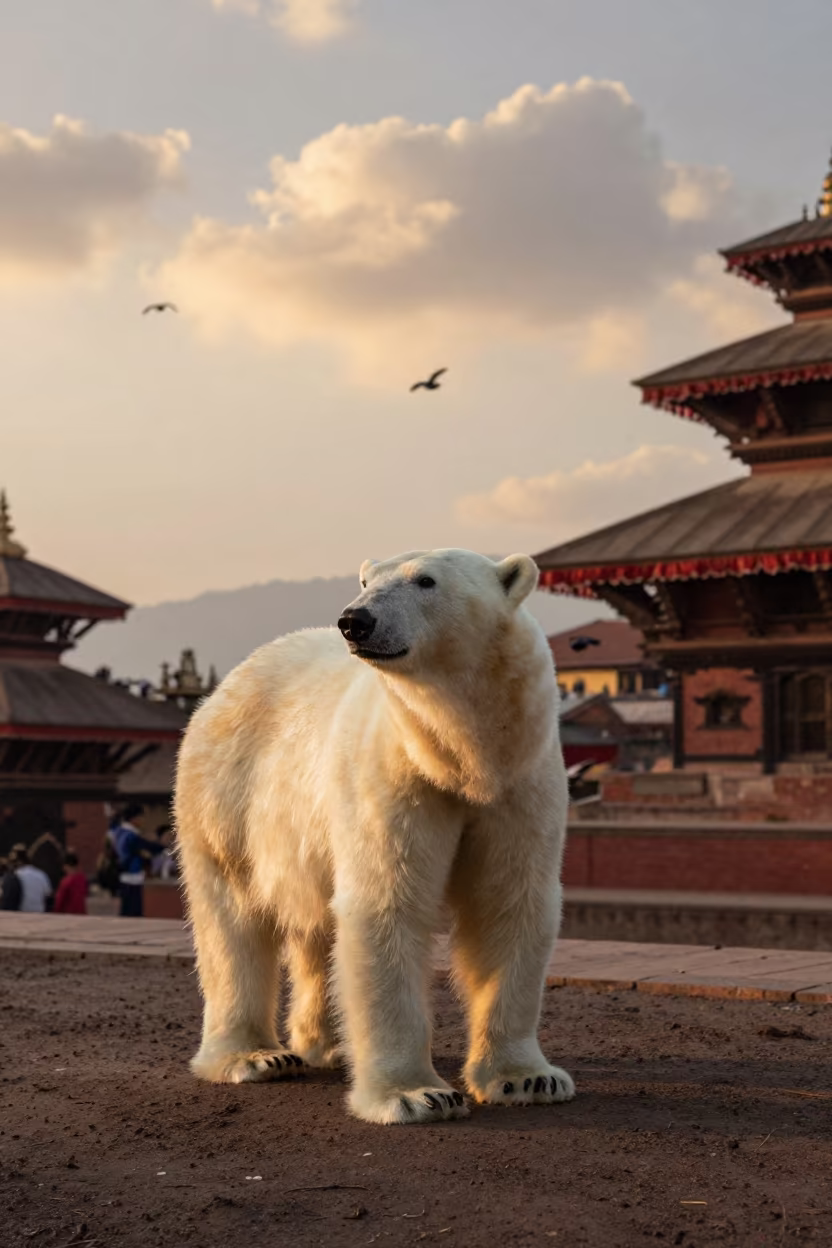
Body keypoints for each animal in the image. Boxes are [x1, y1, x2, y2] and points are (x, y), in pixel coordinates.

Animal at [175, 547, 574, 1125]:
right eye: (366, 581)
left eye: (425, 580)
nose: (355, 620)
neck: (464, 758)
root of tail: (229, 682)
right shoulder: (394, 770)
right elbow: (389, 904)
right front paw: (417, 1095)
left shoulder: (519, 782)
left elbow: (508, 903)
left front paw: (528, 1079)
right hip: (228, 797)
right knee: (234, 919)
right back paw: (255, 1056)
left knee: (315, 929)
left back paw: (327, 1044)